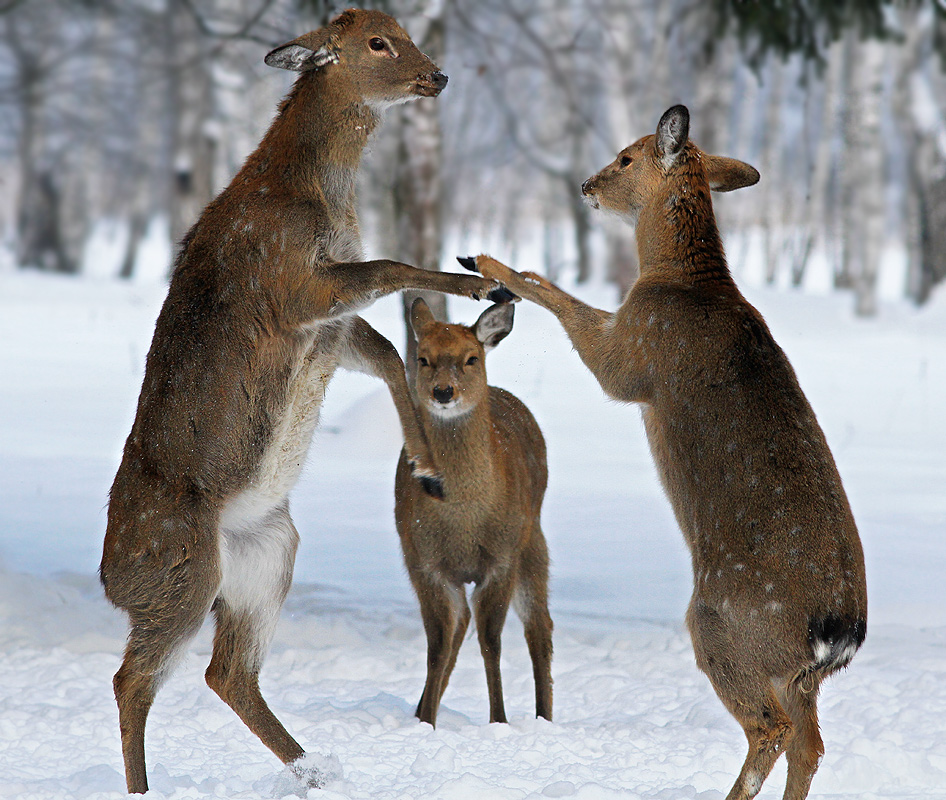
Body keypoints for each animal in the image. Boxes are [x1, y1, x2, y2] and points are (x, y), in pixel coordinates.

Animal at [100, 10, 512, 792]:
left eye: (404, 27)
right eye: (377, 42)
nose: (437, 74)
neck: (319, 200)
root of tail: (111, 579)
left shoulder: (332, 329)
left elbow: (390, 355)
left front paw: (427, 467)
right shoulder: (292, 283)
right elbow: (389, 265)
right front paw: (479, 281)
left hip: (269, 555)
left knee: (226, 672)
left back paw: (315, 769)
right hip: (180, 570)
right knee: (132, 677)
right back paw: (150, 788)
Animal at [392, 296, 552, 728]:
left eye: (470, 358)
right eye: (423, 358)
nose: (443, 391)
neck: (464, 518)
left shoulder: (501, 559)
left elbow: (492, 641)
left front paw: (499, 721)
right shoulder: (422, 561)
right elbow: (437, 644)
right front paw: (426, 723)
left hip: (533, 539)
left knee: (540, 628)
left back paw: (544, 718)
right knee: (460, 624)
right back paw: (421, 708)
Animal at [460, 104, 868, 800]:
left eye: (626, 156)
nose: (587, 185)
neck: (681, 281)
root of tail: (837, 633)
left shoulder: (633, 358)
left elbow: (565, 302)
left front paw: (489, 263)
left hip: (724, 626)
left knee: (772, 729)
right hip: (793, 670)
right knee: (810, 743)